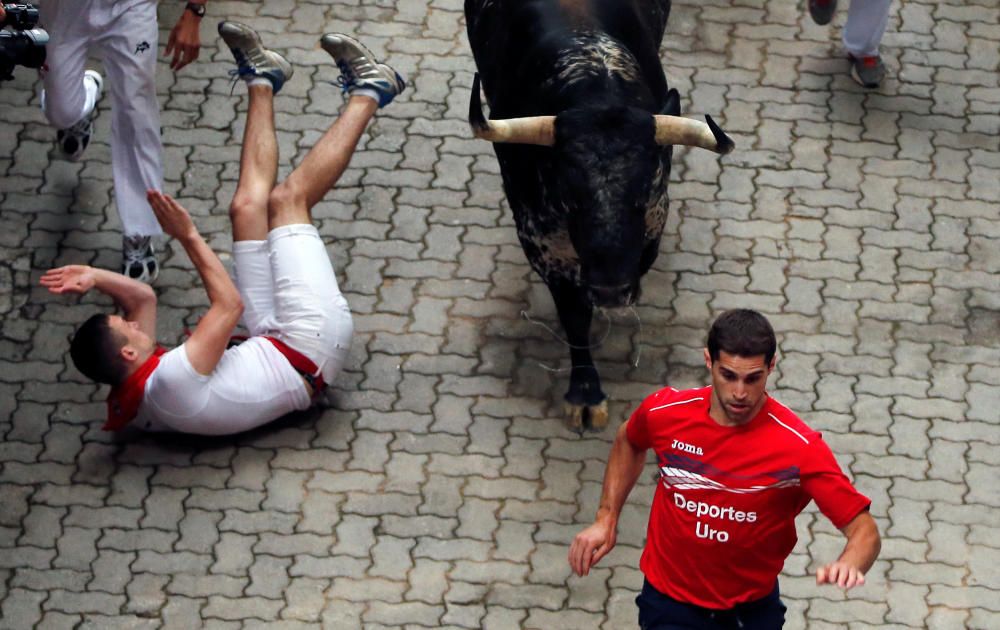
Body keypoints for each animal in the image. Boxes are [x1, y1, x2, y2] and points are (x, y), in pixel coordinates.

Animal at [464, 0, 732, 432]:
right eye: (569, 194)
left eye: (643, 191)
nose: (609, 290)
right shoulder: (541, 242)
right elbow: (575, 315)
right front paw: (586, 394)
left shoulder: (655, 218)